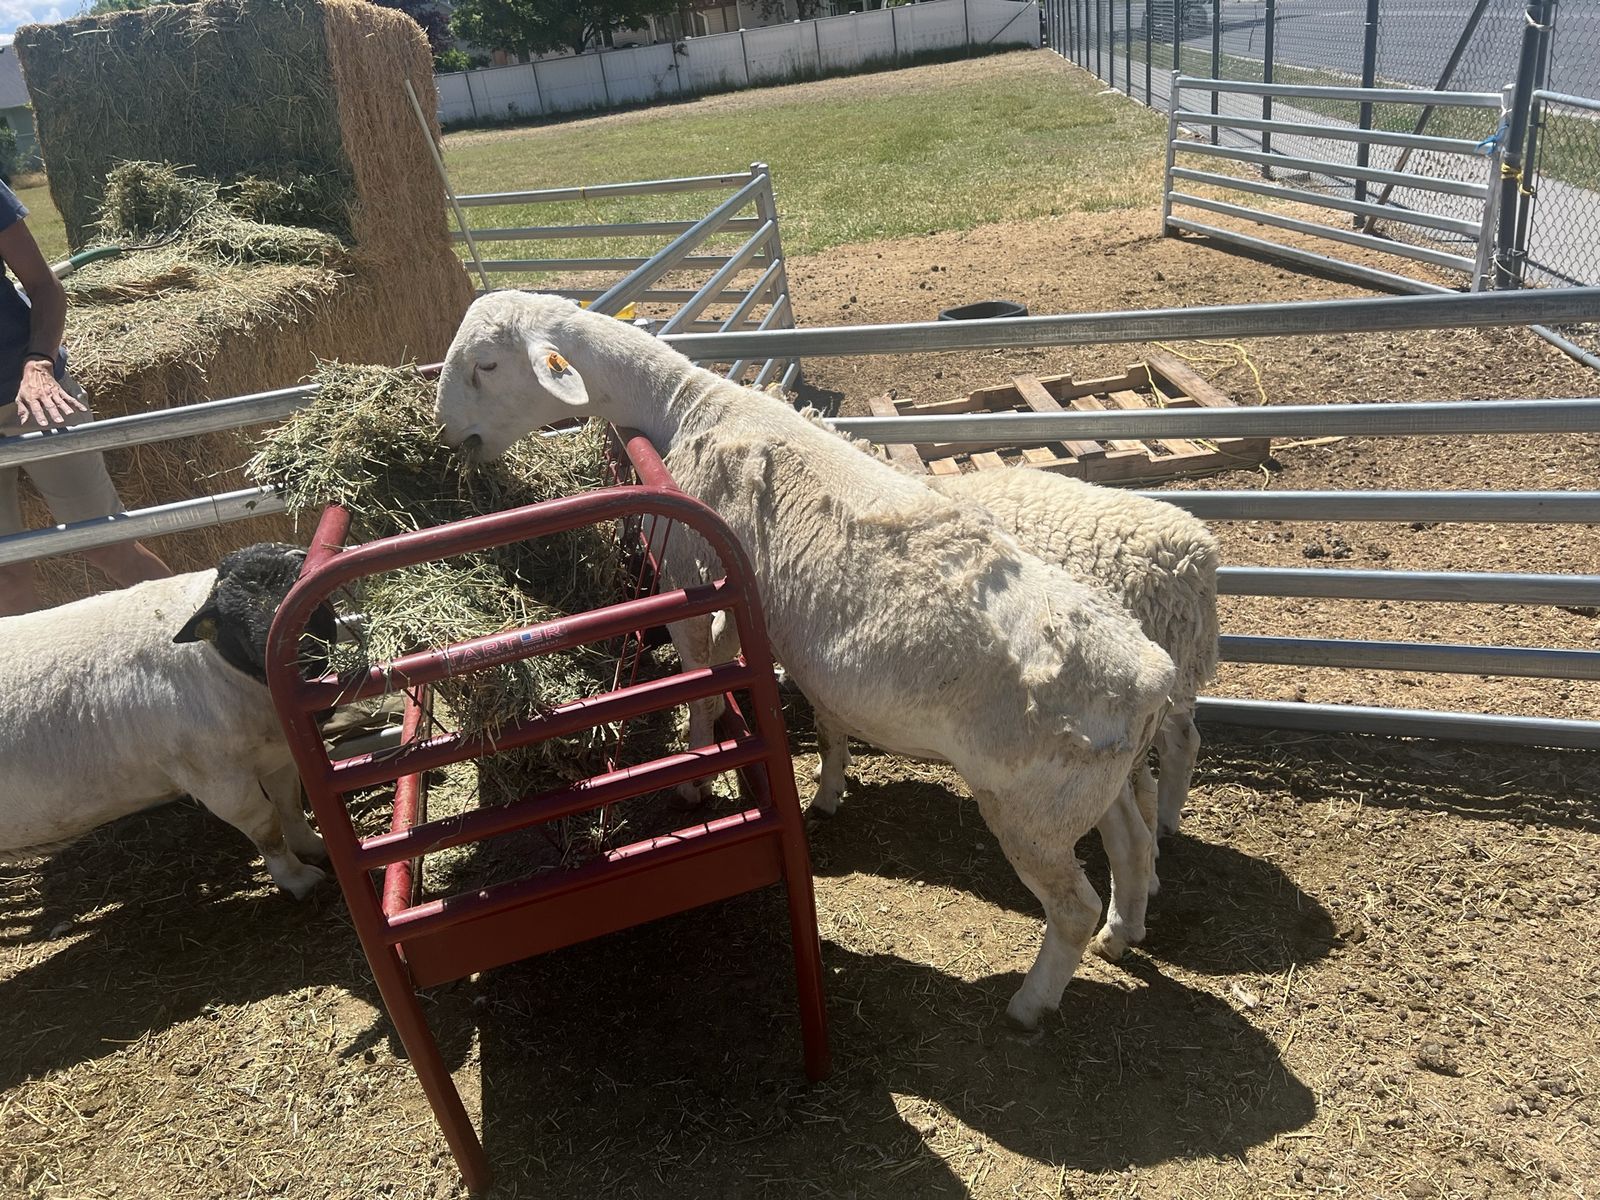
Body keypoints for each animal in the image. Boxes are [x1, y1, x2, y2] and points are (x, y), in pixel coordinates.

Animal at [0, 543, 333, 899]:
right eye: (239, 625)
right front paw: (297, 878)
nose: (310, 674)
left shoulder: (275, 755)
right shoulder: (216, 778)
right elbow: (267, 826)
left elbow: (290, 804)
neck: (216, 663)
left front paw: (314, 846)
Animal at [435, 291, 1178, 1028]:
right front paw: (826, 789)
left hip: (1032, 812)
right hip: (1094, 787)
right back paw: (1124, 933)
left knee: (1073, 907)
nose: (448, 437)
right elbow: (822, 718)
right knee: (1132, 843)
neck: (678, 403)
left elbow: (703, 685)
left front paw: (696, 777)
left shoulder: (692, 583)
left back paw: (1031, 1000)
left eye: (487, 364)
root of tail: (1151, 676)